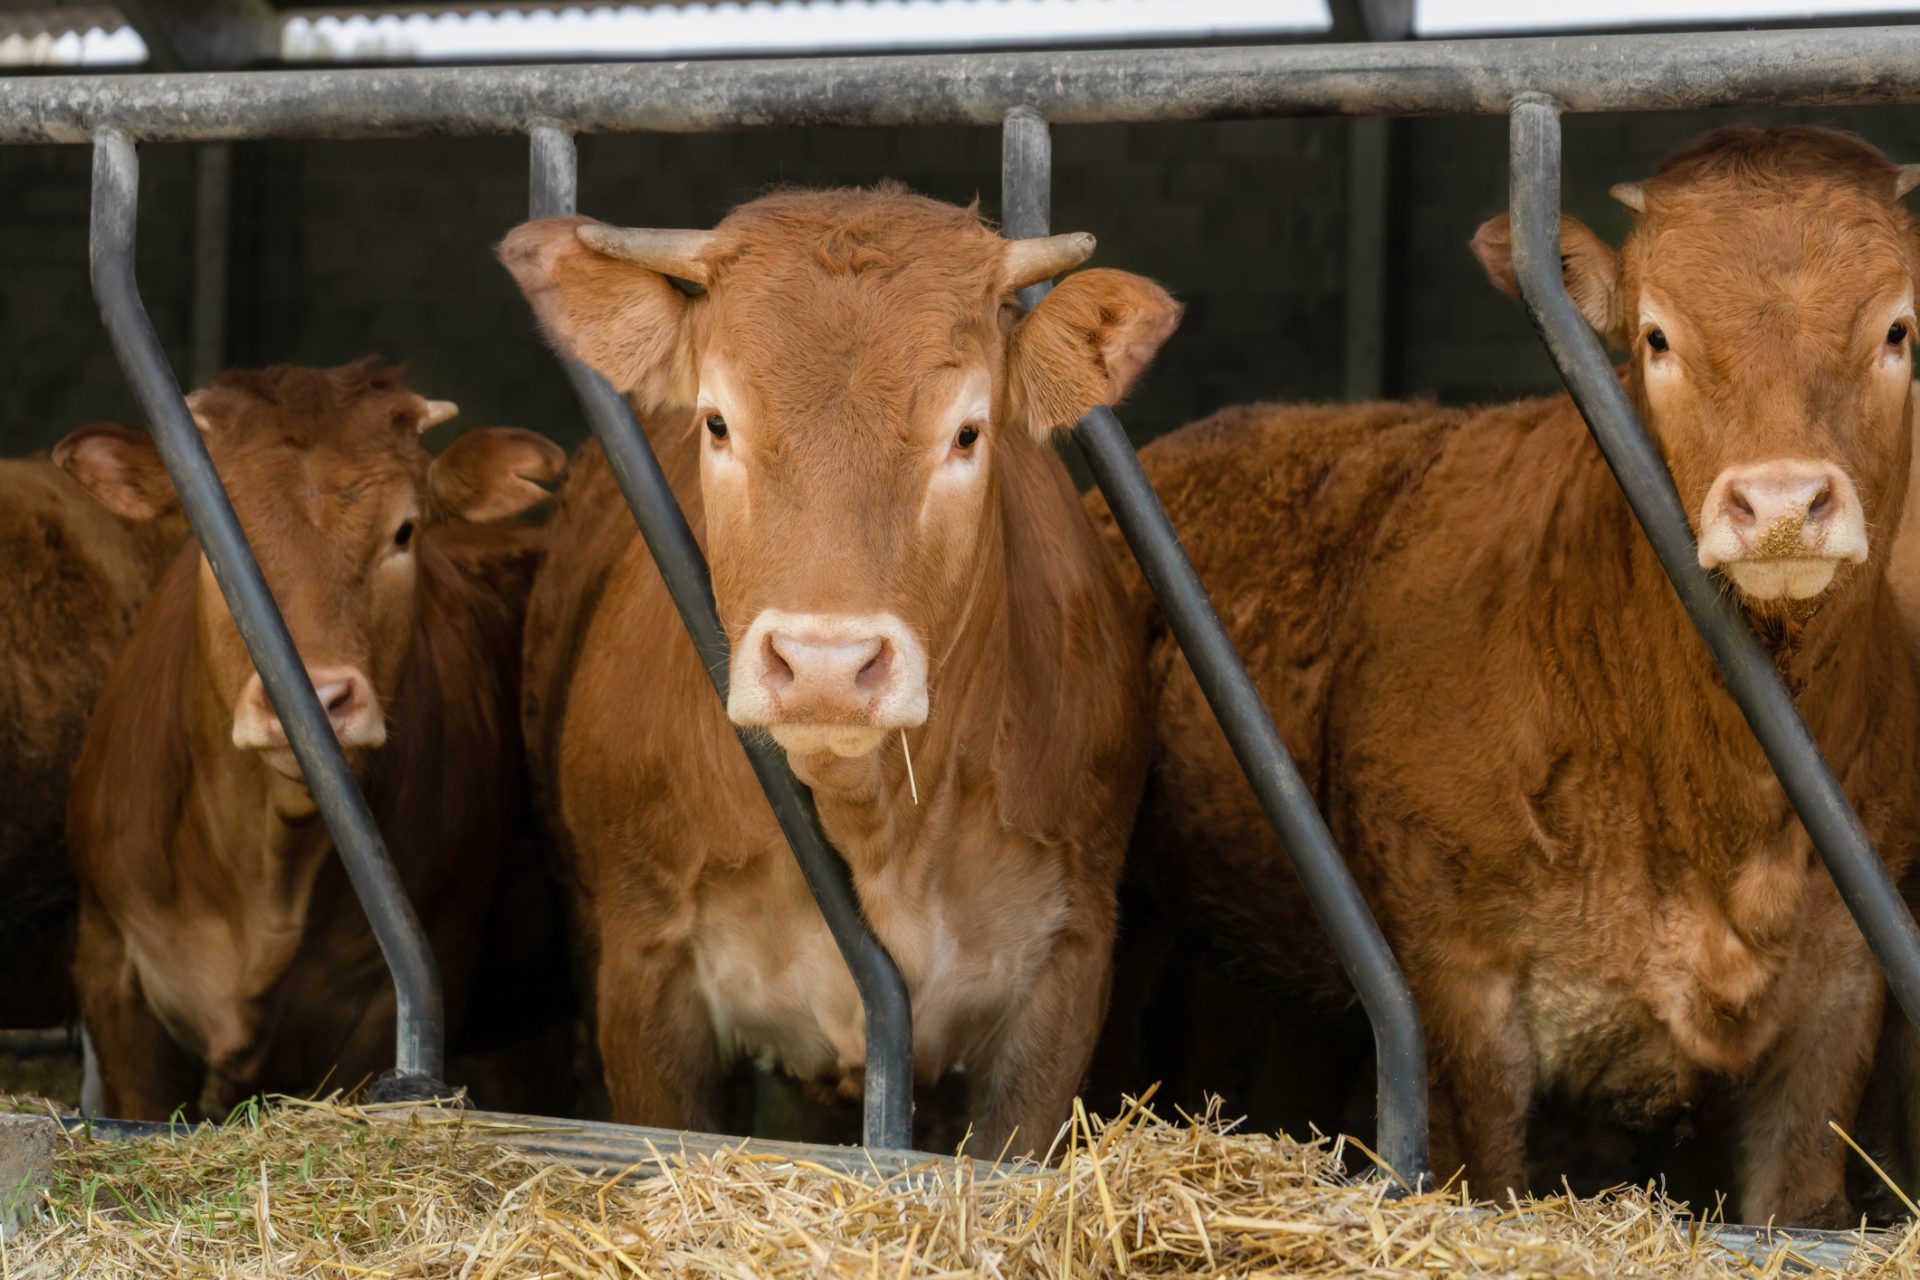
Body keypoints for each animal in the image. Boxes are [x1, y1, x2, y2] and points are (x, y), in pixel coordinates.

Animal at [503, 182, 1175, 1151]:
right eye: (717, 421)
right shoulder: (642, 964)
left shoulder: (1066, 966)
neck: (875, 824)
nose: (825, 665)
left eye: (967, 432)